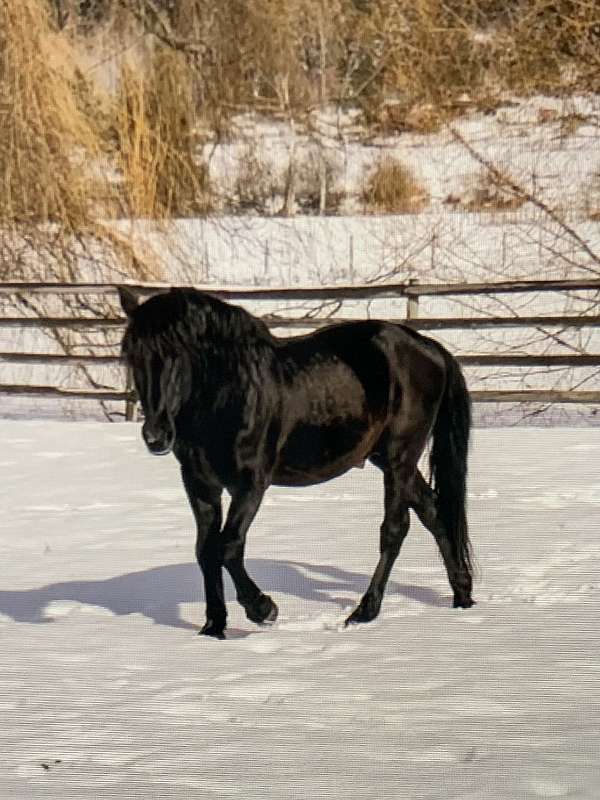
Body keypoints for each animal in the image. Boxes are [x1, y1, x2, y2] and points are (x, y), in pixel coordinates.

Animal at [119, 286, 474, 639]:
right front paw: (213, 628)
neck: (229, 392)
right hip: (386, 458)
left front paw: (263, 609)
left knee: (395, 529)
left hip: (401, 456)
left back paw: (364, 612)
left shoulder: (251, 484)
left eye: (175, 353)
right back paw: (462, 596)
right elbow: (205, 551)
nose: (156, 436)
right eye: (131, 354)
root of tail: (428, 347)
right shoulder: (200, 484)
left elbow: (228, 546)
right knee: (434, 512)